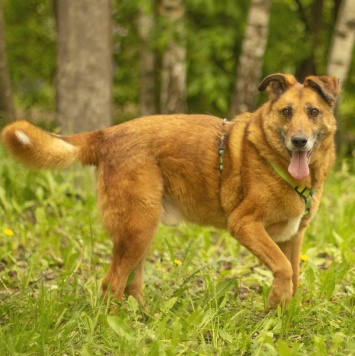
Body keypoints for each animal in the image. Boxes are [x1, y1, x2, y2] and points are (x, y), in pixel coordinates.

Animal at [0, 73, 340, 308]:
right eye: (286, 112)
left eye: (313, 112)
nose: (299, 141)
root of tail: (107, 133)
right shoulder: (244, 224)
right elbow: (283, 269)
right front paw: (276, 303)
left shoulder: (293, 236)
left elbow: (294, 274)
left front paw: (284, 316)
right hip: (137, 228)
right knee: (111, 283)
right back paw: (116, 326)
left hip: (142, 231)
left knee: (131, 285)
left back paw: (143, 320)